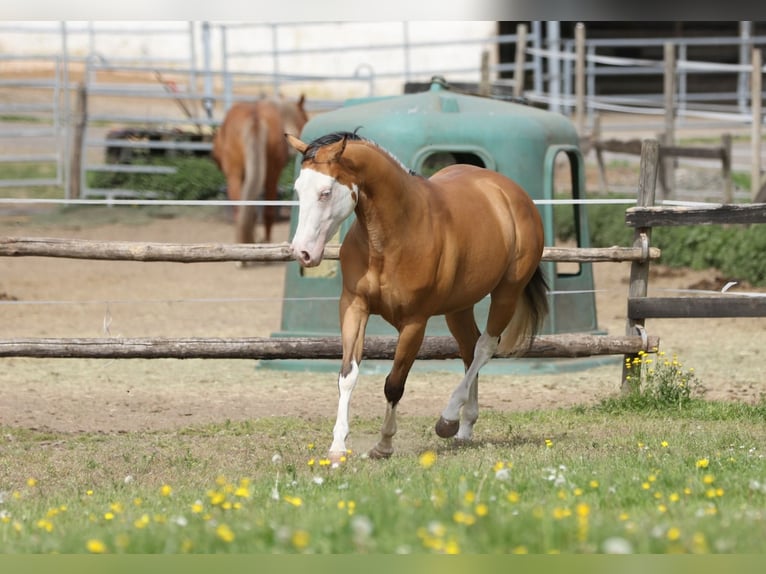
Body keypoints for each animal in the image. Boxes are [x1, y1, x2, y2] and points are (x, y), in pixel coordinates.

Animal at [286, 130, 549, 462]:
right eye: (298, 189)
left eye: (325, 192)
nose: (302, 253)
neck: (393, 235)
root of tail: (511, 194)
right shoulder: (354, 306)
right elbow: (347, 376)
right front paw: (337, 446)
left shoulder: (414, 323)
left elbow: (394, 384)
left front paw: (384, 444)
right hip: (459, 307)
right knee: (469, 348)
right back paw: (464, 427)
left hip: (506, 294)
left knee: (485, 347)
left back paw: (448, 419)